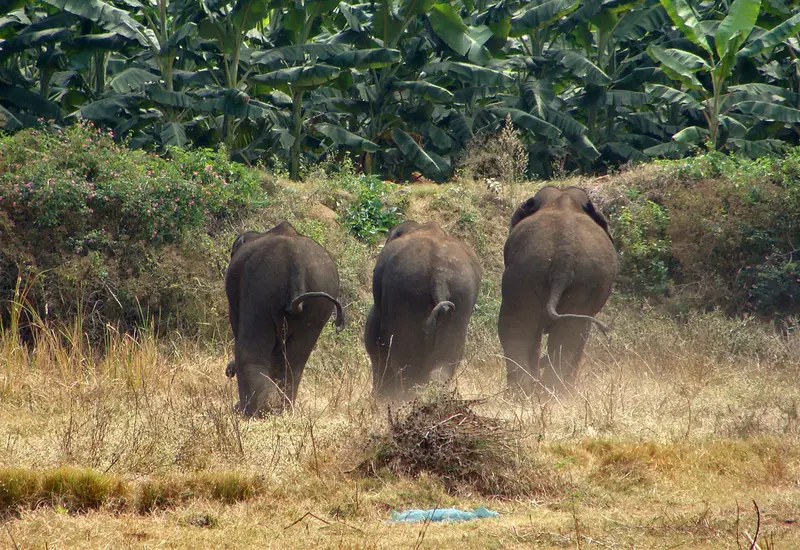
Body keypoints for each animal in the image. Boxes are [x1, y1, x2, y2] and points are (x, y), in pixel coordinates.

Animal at [224, 221, 345, 417]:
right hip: (319, 301)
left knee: (249, 349)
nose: (229, 371)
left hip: (263, 287)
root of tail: (296, 264)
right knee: (295, 361)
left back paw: (255, 409)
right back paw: (283, 409)